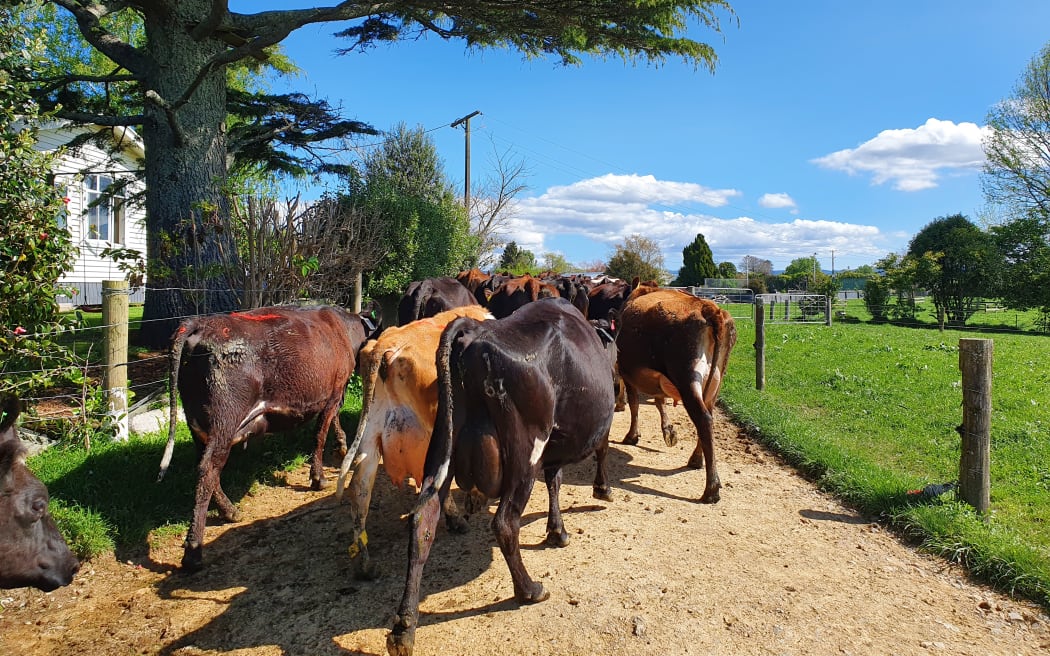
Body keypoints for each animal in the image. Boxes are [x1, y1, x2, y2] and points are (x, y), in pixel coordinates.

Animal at [159, 304, 377, 570]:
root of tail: (199, 323)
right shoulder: (333, 392)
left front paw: (342, 445)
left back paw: (230, 511)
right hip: (224, 420)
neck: (342, 328)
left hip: (197, 424)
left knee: (203, 465)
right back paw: (194, 550)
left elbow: (331, 422)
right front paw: (318, 477)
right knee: (208, 469)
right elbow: (319, 434)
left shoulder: (333, 394)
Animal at [333, 302, 493, 579]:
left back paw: (365, 564)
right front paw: (475, 499)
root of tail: (385, 346)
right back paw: (455, 519)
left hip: (371, 434)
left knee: (360, 489)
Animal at [386, 298, 613, 654]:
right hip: (525, 452)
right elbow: (595, 454)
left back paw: (404, 628)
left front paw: (556, 530)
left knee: (423, 521)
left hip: (442, 446)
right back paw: (530, 590)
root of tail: (473, 331)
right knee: (506, 523)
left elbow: (555, 480)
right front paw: (600, 491)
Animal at [613, 283, 739, 503]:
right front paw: (668, 430)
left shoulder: (628, 373)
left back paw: (711, 487)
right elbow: (659, 401)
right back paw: (696, 459)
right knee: (709, 417)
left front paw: (632, 435)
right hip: (715, 381)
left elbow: (635, 404)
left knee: (703, 419)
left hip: (686, 378)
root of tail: (707, 308)